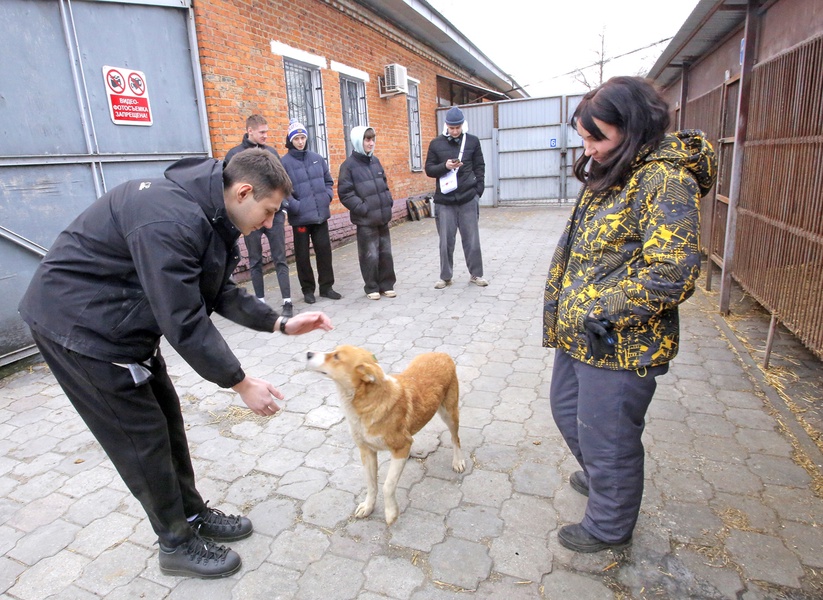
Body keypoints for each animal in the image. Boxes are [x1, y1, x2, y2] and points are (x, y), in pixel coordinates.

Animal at [308, 344, 466, 524]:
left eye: (336, 357)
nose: (308, 353)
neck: (366, 404)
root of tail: (441, 354)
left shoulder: (401, 447)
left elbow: (388, 485)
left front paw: (391, 512)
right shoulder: (367, 451)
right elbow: (371, 484)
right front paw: (368, 507)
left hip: (449, 413)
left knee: (455, 438)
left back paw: (458, 461)